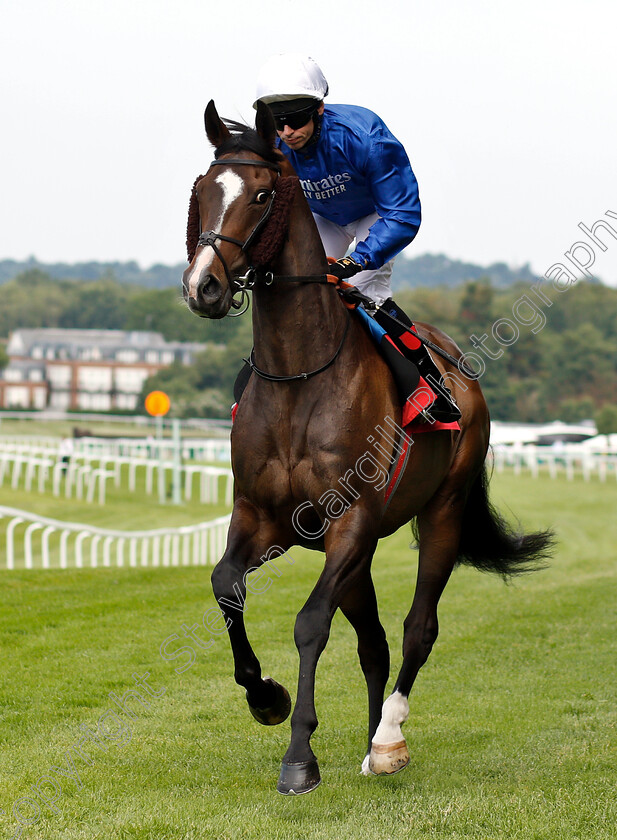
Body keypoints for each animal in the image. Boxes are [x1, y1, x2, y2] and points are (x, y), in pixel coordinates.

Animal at [180, 100, 552, 796]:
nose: (203, 287)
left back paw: (387, 738)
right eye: (202, 192)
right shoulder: (265, 518)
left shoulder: (349, 521)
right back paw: (371, 733)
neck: (300, 376)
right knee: (374, 639)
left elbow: (309, 623)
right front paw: (266, 698)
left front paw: (300, 756)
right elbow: (225, 585)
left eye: (263, 195)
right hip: (355, 551)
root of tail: (458, 367)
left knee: (415, 630)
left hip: (441, 512)